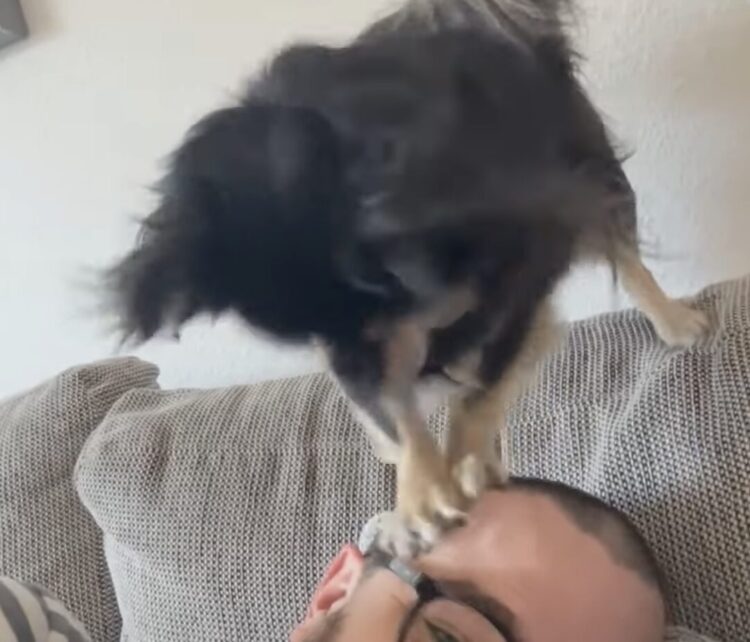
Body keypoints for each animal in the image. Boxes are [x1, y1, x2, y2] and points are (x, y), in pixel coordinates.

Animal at [104, 0, 709, 558]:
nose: (361, 367)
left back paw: (673, 322)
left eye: (383, 307)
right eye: (314, 339)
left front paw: (459, 461)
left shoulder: (528, 264)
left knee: (624, 255)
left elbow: (481, 386)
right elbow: (397, 416)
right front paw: (419, 491)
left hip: (594, 170)